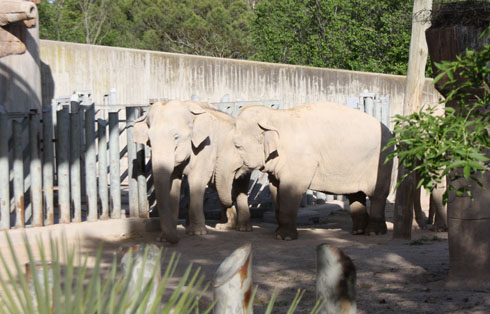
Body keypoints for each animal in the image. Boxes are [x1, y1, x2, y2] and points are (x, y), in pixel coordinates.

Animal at [135, 100, 253, 243]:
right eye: (150, 141)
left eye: (176, 137)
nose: (177, 240)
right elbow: (173, 182)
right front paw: (163, 238)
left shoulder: (207, 145)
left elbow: (196, 179)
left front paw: (197, 233)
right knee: (219, 187)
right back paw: (225, 227)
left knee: (240, 186)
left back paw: (243, 228)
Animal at [234, 102, 394, 239]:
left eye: (237, 146)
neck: (275, 115)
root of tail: (389, 131)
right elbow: (275, 189)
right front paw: (277, 233)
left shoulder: (299, 160)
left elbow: (290, 190)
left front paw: (284, 237)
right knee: (356, 195)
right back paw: (358, 231)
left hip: (381, 162)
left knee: (377, 196)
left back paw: (374, 232)